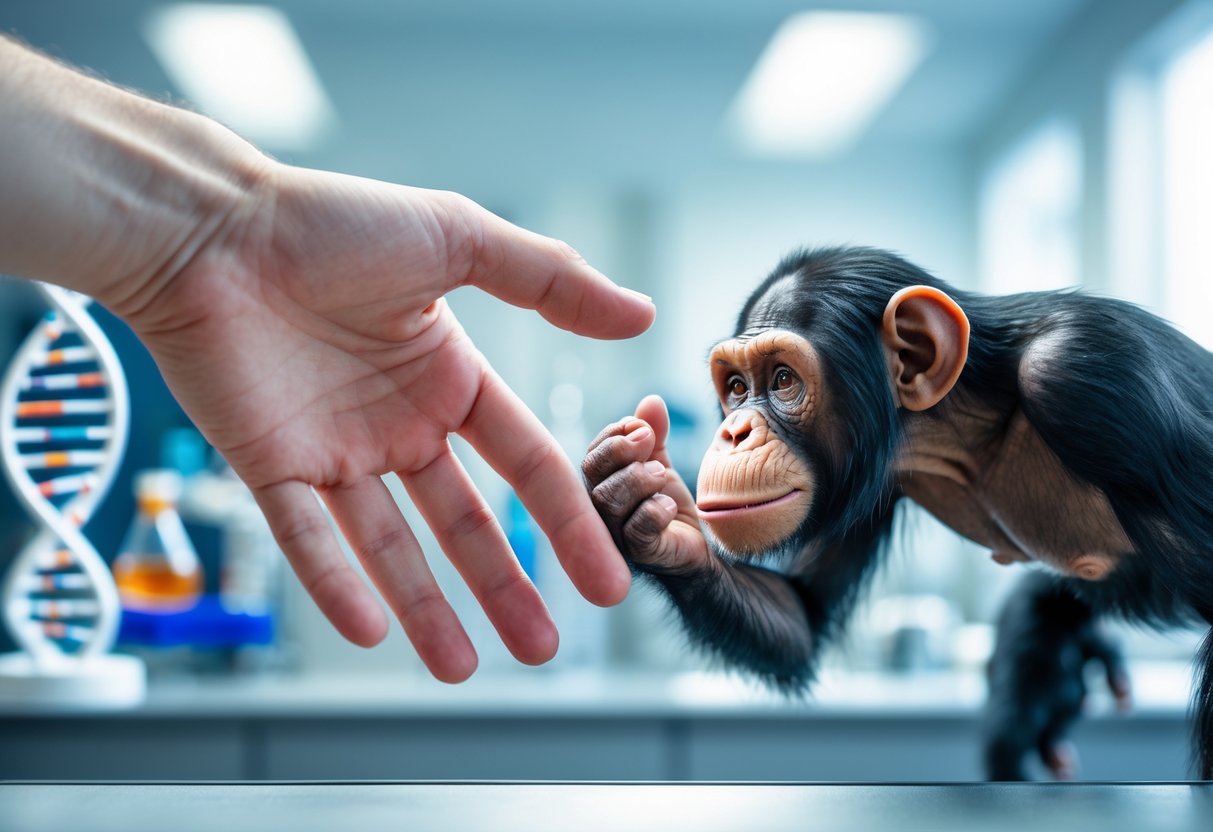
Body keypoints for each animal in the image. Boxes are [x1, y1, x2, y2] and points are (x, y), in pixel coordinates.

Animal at [582, 246, 1213, 780]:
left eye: (782, 378)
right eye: (736, 387)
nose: (733, 431)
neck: (965, 417)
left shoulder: (1089, 381)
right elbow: (802, 616)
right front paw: (641, 503)